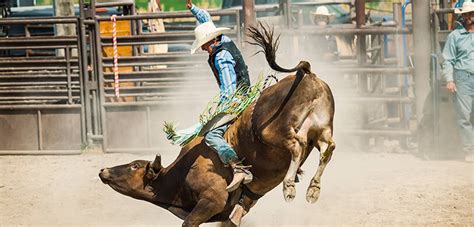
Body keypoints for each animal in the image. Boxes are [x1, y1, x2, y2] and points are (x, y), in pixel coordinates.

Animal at [99, 24, 336, 226]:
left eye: (134, 166)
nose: (103, 170)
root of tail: (307, 74)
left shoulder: (212, 200)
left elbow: (189, 222)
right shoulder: (240, 206)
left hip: (273, 132)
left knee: (297, 145)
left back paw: (289, 187)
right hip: (322, 128)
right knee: (327, 148)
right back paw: (313, 189)